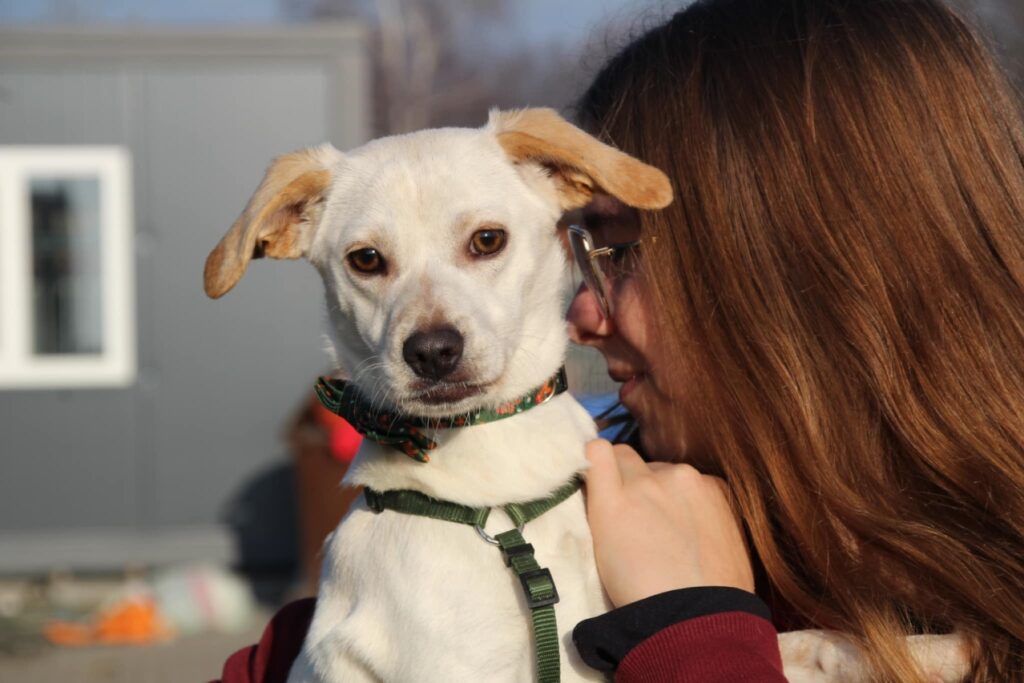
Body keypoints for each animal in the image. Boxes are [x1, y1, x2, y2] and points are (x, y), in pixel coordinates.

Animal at [201, 109, 966, 679]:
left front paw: (934, 650)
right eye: (365, 260)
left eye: (487, 240)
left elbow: (808, 642)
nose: (432, 351)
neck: (498, 499)